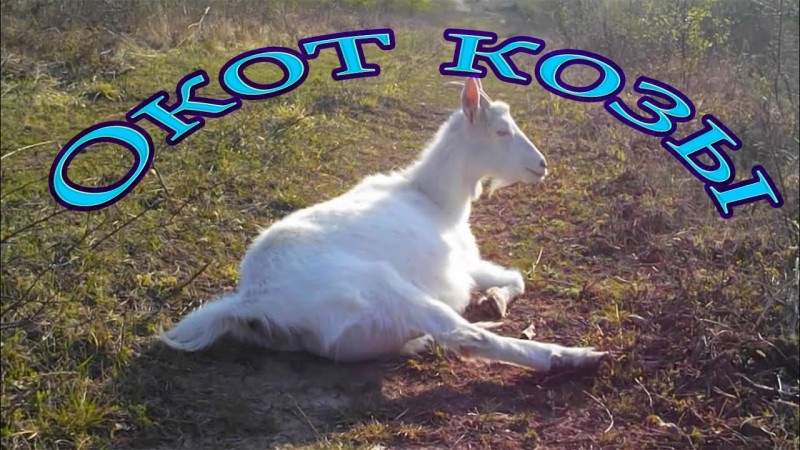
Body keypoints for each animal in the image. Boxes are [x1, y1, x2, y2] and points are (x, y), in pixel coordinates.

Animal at [160, 77, 607, 374]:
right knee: (463, 337)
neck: (435, 200)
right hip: (386, 289)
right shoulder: (460, 267)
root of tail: (253, 300)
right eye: (500, 131)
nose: (541, 165)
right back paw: (575, 357)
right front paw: (494, 302)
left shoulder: (469, 264)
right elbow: (512, 278)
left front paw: (494, 299)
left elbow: (514, 276)